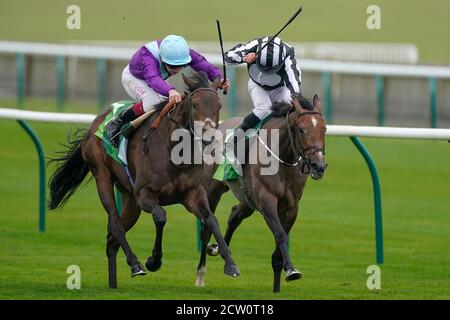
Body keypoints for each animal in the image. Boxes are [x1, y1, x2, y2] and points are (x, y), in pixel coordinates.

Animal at [47, 71, 241, 288]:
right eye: (194, 105)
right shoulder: (144, 193)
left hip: (130, 200)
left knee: (112, 237)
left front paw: (230, 263)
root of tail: (96, 122)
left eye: (219, 106)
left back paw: (113, 283)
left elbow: (211, 220)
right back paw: (135, 265)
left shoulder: (193, 194)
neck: (174, 153)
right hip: (103, 176)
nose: (209, 138)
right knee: (115, 225)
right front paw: (153, 260)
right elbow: (161, 216)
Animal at [200, 94, 326, 292]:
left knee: (234, 215)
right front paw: (291, 270)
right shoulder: (266, 200)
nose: (318, 166)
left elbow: (281, 239)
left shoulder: (291, 207)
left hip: (248, 198)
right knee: (208, 223)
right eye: (301, 130)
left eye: (324, 129)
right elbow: (280, 235)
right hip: (214, 189)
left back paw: (218, 249)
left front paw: (280, 276)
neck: (282, 157)